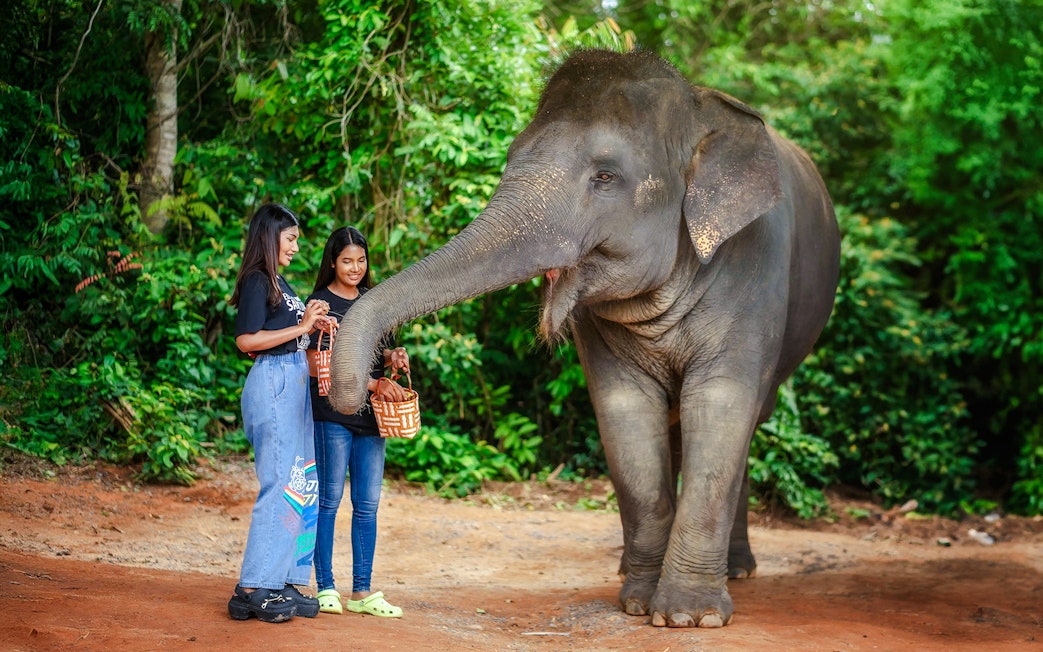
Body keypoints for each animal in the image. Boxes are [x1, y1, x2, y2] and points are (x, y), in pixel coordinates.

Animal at [328, 48, 840, 628]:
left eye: (605, 176)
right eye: (510, 158)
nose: (353, 394)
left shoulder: (756, 270)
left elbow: (722, 406)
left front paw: (689, 617)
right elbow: (624, 414)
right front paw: (638, 603)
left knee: (746, 421)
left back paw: (738, 572)